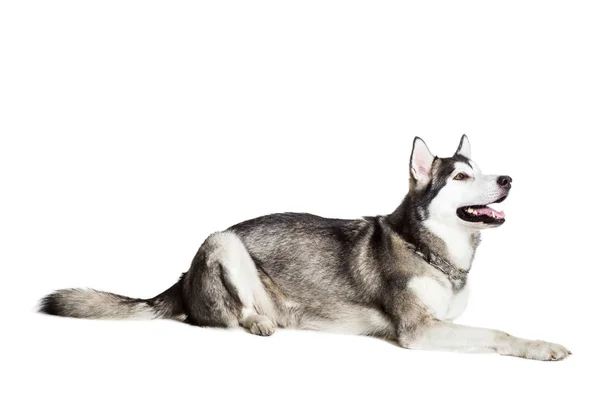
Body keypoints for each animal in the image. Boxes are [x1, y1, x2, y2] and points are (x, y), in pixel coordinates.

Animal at [39, 136, 568, 360]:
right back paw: (259, 322)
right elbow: (498, 332)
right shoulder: (419, 331)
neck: (428, 249)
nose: (508, 178)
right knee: (225, 315)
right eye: (460, 177)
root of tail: (180, 278)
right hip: (223, 240)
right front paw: (540, 347)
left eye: (480, 169)